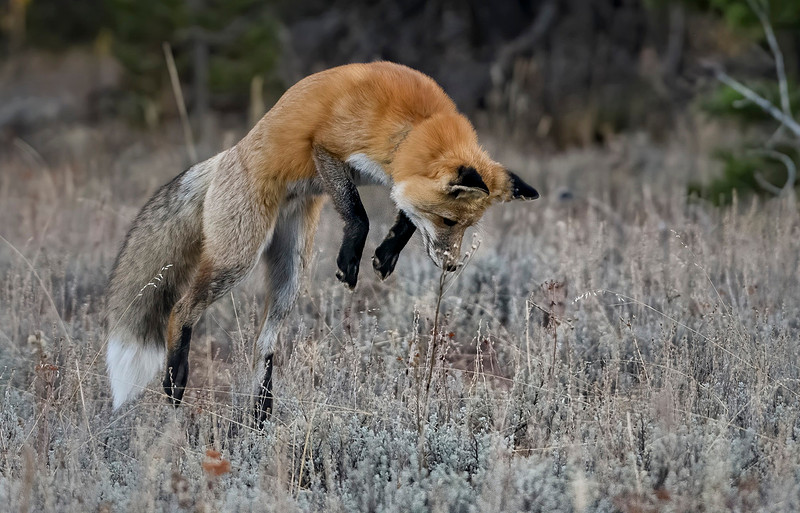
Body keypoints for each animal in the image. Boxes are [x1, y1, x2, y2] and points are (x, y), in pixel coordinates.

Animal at [106, 61, 539, 422]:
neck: (414, 124)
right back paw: (175, 378)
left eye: (468, 227)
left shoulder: (394, 178)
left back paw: (261, 414)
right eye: (448, 220)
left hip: (291, 274)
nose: (451, 265)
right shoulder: (328, 148)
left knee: (263, 346)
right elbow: (360, 216)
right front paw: (352, 259)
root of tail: (229, 154)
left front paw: (385, 255)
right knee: (180, 310)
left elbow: (405, 217)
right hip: (237, 259)